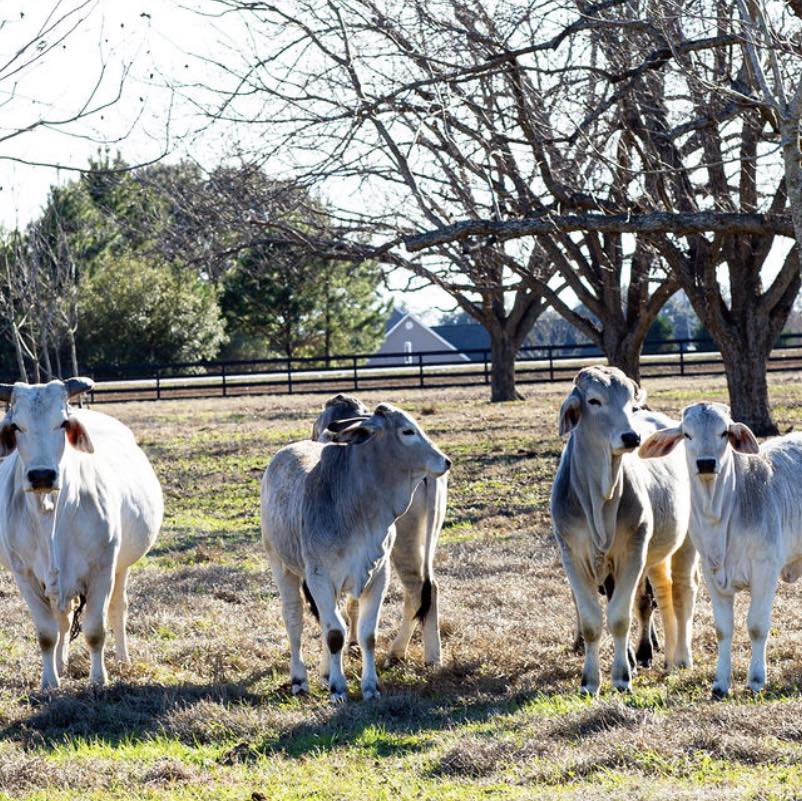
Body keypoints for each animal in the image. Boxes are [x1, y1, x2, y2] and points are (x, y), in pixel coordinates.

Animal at [0, 378, 163, 689]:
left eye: (63, 423)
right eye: (16, 426)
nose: (41, 476)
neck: (51, 512)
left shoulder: (103, 568)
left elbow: (95, 630)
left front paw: (98, 679)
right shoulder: (24, 574)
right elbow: (47, 633)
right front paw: (49, 681)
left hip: (122, 565)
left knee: (117, 608)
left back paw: (122, 658)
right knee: (63, 620)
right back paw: (61, 663)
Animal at [551, 366, 697, 695]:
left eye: (630, 402)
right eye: (594, 400)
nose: (631, 436)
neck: (599, 498)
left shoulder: (632, 552)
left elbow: (620, 617)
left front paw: (620, 677)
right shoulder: (573, 557)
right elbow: (592, 622)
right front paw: (590, 682)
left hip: (684, 542)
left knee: (676, 591)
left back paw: (675, 656)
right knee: (658, 594)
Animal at [639, 401, 802, 698]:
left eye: (724, 432)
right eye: (687, 434)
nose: (706, 463)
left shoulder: (765, 569)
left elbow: (757, 626)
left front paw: (756, 679)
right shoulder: (712, 574)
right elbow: (723, 630)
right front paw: (720, 683)